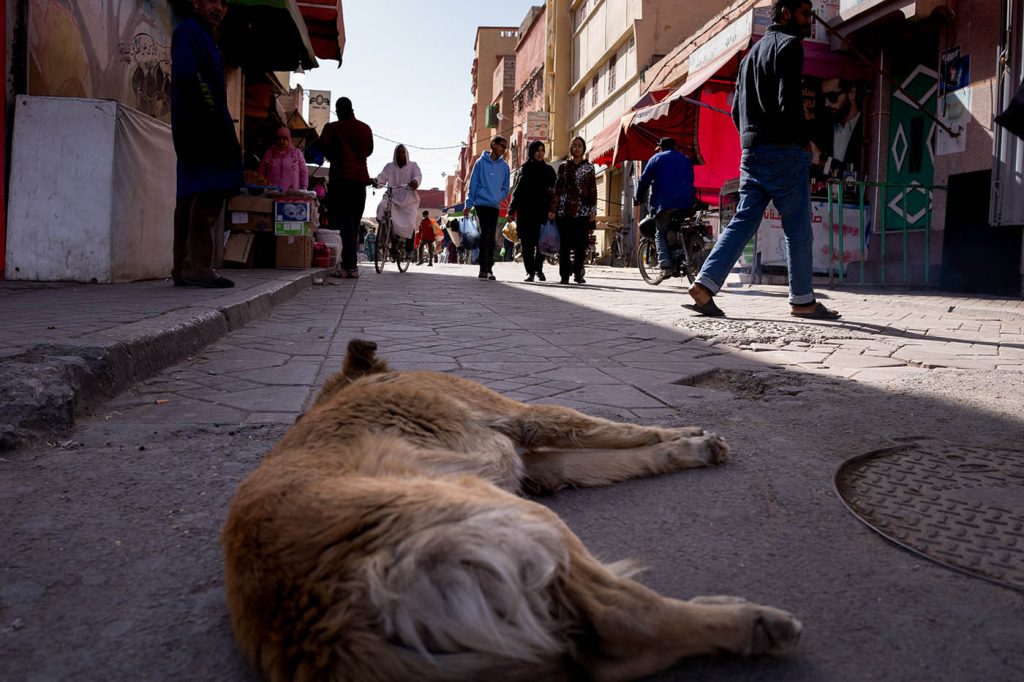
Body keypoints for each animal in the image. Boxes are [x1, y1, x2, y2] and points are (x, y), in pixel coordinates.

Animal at [222, 337, 798, 675]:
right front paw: (688, 434)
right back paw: (752, 622)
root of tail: (320, 620)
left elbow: (620, 455)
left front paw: (689, 448)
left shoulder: (539, 466)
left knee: (607, 649)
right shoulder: (527, 416)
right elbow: (619, 428)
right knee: (625, 621)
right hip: (517, 519)